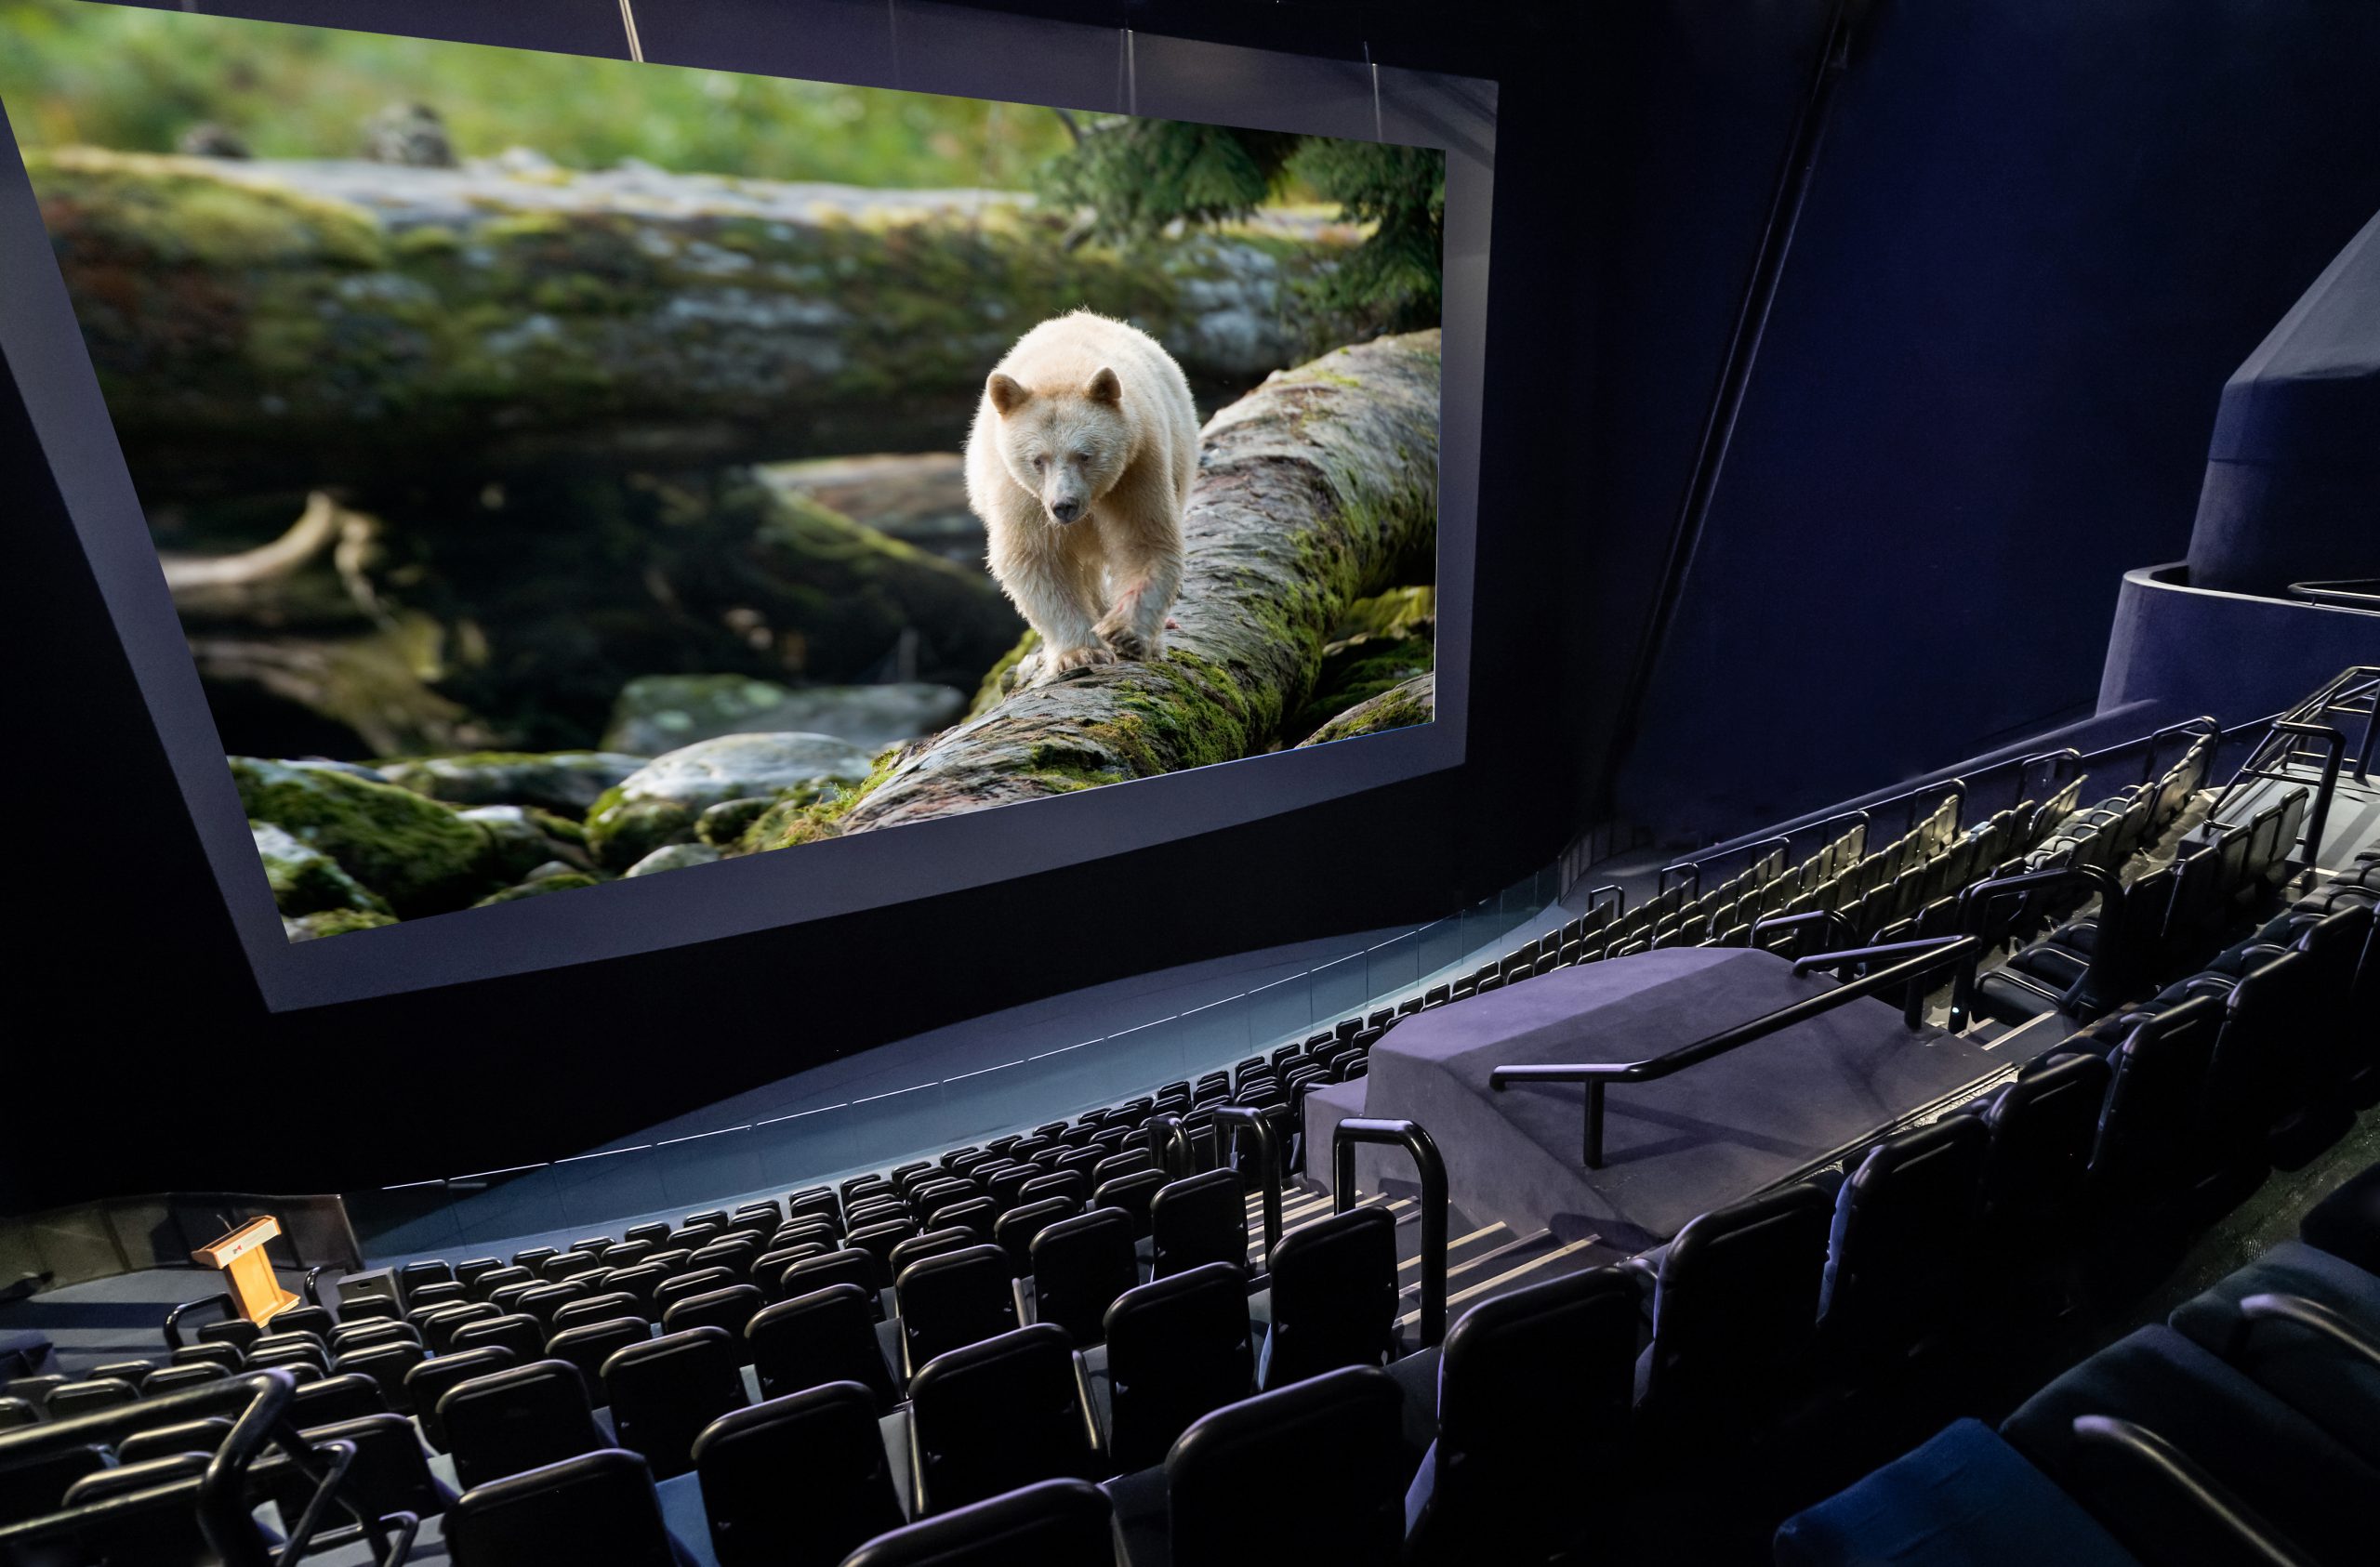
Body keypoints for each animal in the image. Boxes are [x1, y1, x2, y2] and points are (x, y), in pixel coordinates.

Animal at [961, 313, 1199, 679]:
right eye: (1037, 459)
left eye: (1085, 455)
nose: (1064, 506)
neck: (1062, 369)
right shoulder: (1020, 493)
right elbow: (1035, 557)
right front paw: (1081, 653)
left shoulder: (1136, 468)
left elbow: (1144, 539)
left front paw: (1124, 633)